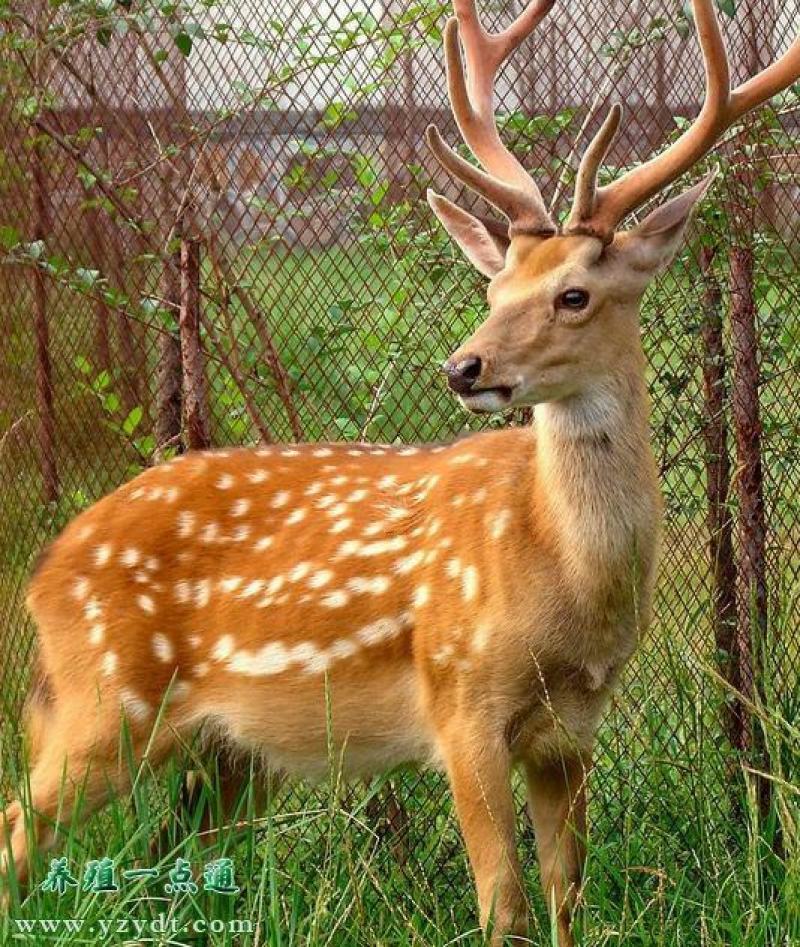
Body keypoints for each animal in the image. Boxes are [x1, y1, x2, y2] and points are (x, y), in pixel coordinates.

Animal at [4, 3, 800, 944]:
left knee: (175, 865)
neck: (565, 580)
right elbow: (505, 906)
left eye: (573, 294)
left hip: (230, 753)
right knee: (21, 829)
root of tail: (45, 570)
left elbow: (567, 898)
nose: (464, 366)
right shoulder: (460, 700)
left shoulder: (573, 730)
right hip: (103, 699)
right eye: (495, 288)